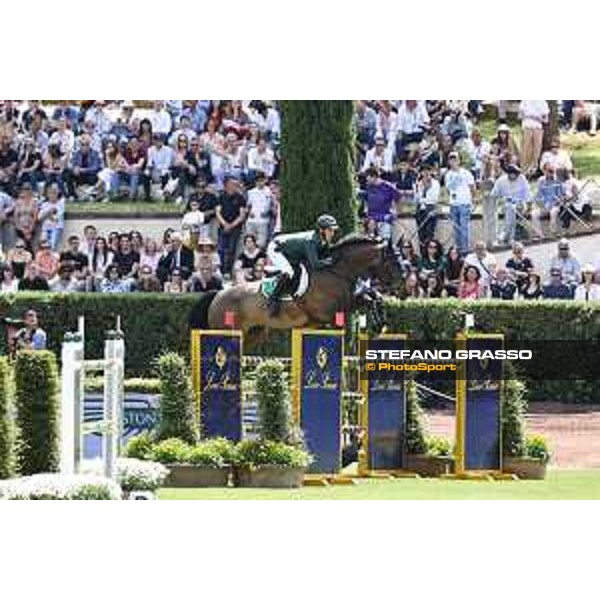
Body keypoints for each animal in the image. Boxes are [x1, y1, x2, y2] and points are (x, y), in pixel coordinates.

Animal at [190, 234, 398, 338]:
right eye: (391, 260)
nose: (398, 282)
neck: (336, 271)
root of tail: (218, 295)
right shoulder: (327, 313)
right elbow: (365, 300)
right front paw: (377, 323)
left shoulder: (348, 303)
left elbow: (371, 298)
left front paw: (379, 324)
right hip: (227, 330)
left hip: (254, 334)